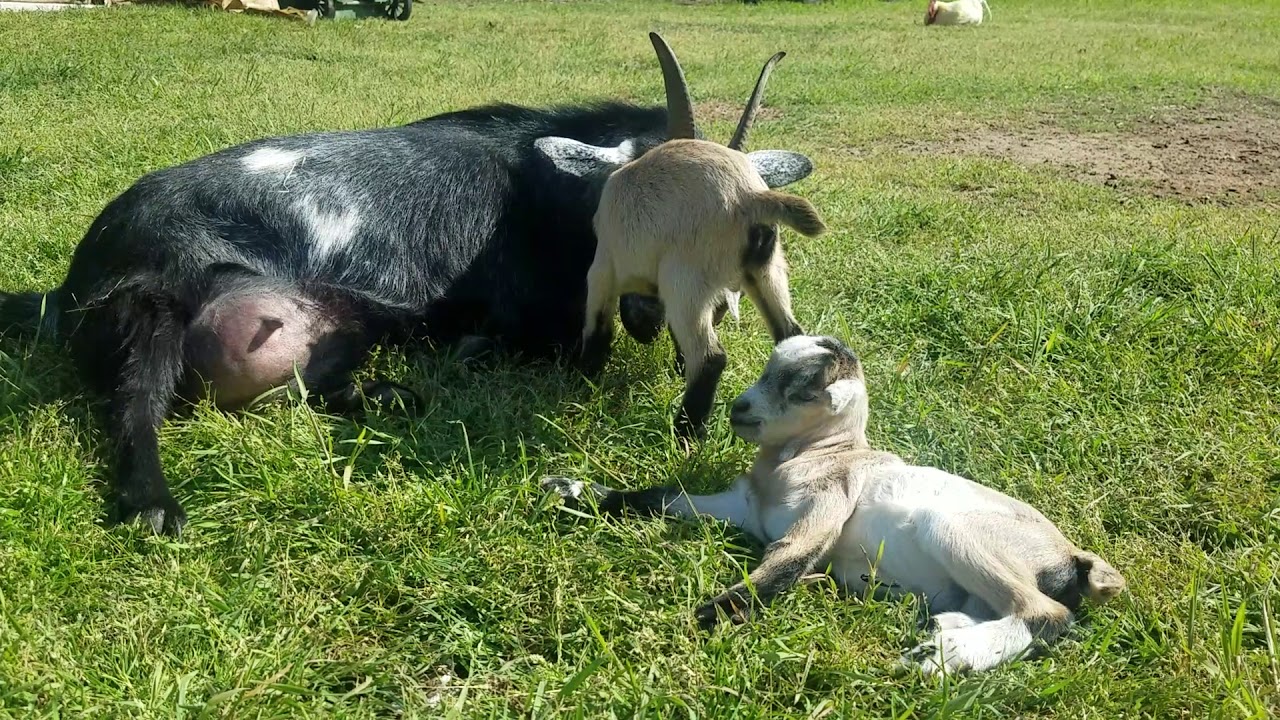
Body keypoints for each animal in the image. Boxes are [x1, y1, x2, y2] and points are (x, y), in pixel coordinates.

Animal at [536, 33, 825, 438]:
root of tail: (750, 198)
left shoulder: (604, 269)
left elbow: (598, 328)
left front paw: (583, 379)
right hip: (765, 273)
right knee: (789, 332)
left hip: (685, 279)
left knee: (711, 357)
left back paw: (686, 433)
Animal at [544, 335, 1126, 677]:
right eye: (766, 371)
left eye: (801, 391)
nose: (738, 408)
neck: (821, 453)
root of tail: (1070, 555)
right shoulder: (742, 506)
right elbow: (660, 497)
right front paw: (573, 491)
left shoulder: (826, 506)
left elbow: (788, 559)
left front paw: (710, 615)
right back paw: (944, 632)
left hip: (955, 529)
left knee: (1046, 614)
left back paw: (947, 657)